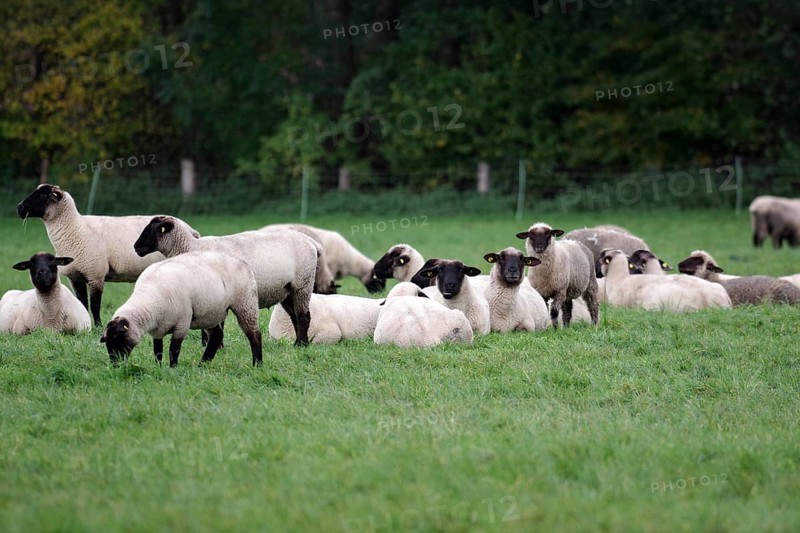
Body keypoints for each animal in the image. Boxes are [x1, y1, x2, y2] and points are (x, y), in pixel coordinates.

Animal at [16, 184, 197, 326]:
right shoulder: (75, 276)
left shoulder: (95, 274)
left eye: (43, 195)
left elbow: (95, 305)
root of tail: (190, 229)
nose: (19, 208)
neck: (75, 229)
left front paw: (97, 326)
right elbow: (82, 303)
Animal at [100, 251, 262, 366]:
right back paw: (203, 365)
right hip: (210, 312)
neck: (150, 298)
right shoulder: (158, 329)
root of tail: (240, 261)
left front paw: (173, 369)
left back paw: (257, 364)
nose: (116, 366)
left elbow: (174, 349)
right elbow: (157, 351)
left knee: (254, 334)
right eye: (107, 343)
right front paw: (158, 367)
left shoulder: (182, 324)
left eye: (118, 339)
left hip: (245, 304)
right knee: (217, 336)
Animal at [134, 215, 318, 344]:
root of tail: (310, 241)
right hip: (287, 290)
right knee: (295, 316)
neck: (191, 247)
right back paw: (302, 342)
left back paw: (300, 345)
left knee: (304, 316)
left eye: (154, 229)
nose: (136, 248)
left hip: (303, 283)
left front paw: (216, 346)